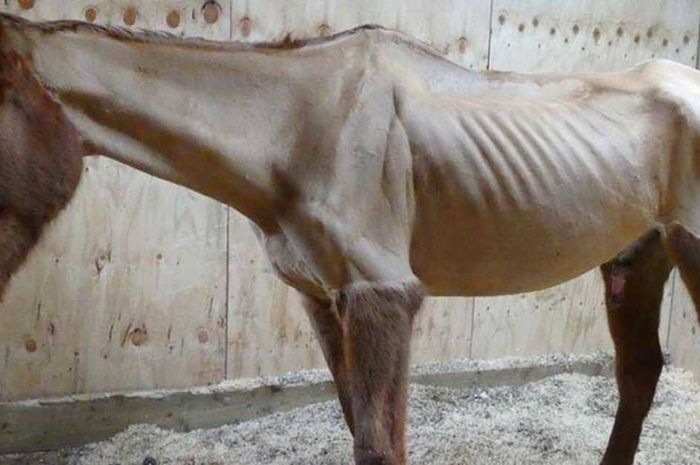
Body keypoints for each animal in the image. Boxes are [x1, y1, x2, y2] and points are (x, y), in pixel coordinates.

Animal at [2, 13, 700, 465]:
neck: (302, 126)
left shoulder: (382, 294)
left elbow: (379, 444)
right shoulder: (324, 297)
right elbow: (353, 422)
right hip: (638, 261)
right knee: (638, 375)